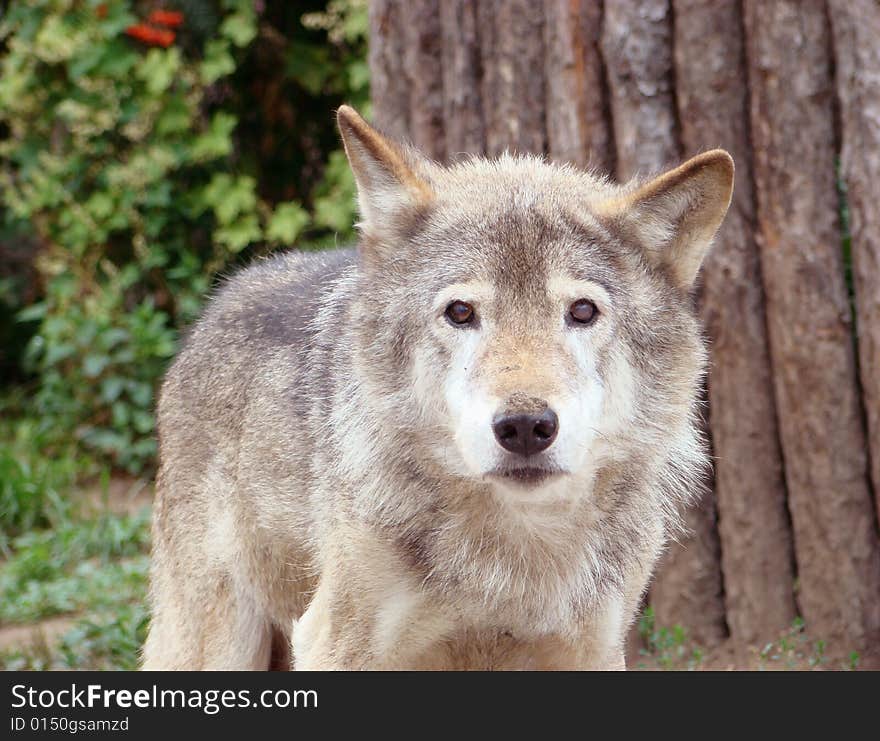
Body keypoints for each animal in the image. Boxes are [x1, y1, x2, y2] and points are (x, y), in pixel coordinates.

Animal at [144, 105, 732, 672]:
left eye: (582, 311)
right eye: (461, 312)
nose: (525, 427)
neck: (515, 555)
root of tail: (222, 299)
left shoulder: (594, 652)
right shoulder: (336, 645)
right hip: (220, 640)